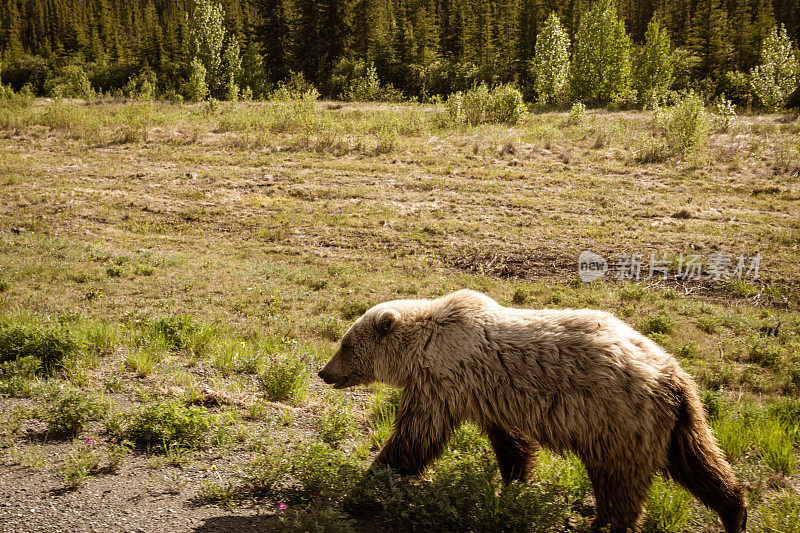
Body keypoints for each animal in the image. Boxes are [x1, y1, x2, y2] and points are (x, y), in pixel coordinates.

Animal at [318, 290, 752, 532]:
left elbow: (415, 438)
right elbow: (512, 444)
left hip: (616, 419)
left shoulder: (443, 383)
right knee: (701, 462)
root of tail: (671, 374)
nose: (323, 372)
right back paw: (735, 512)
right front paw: (511, 486)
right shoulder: (483, 395)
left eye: (345, 344)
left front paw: (367, 482)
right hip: (677, 420)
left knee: (619, 483)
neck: (420, 349)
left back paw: (599, 524)